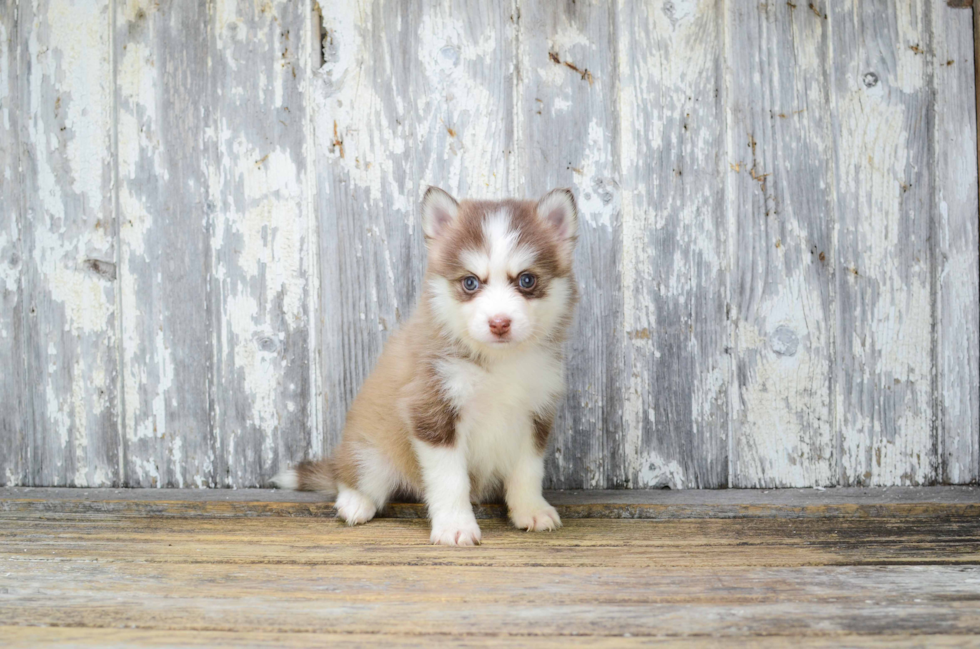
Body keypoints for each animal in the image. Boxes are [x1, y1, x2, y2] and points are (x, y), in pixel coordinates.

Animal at [272, 185, 580, 544]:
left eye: (527, 280)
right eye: (470, 282)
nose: (499, 323)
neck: (497, 363)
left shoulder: (535, 413)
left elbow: (528, 470)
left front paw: (531, 509)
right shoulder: (432, 410)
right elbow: (450, 480)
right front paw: (456, 526)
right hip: (372, 449)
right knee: (355, 476)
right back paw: (354, 501)